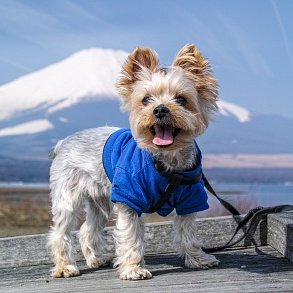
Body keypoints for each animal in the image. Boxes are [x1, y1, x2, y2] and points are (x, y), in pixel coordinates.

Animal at [46, 43, 219, 278]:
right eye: (145, 99)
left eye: (181, 99)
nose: (160, 109)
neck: (165, 161)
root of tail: (63, 142)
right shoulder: (130, 197)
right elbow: (130, 237)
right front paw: (133, 270)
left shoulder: (190, 198)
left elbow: (189, 232)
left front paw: (199, 259)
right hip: (68, 196)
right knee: (60, 232)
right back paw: (65, 267)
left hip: (100, 199)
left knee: (87, 229)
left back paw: (96, 259)